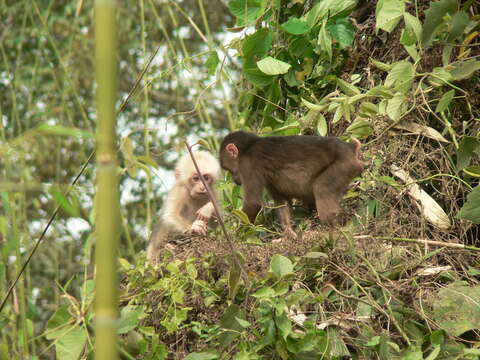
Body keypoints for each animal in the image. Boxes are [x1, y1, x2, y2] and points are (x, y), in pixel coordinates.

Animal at [220, 131, 364, 238]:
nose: (234, 179)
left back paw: (333, 231)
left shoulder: (248, 165)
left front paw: (237, 236)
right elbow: (281, 200)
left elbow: (253, 203)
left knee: (322, 189)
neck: (249, 147)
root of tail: (351, 148)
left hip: (345, 165)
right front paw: (289, 234)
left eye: (228, 169)